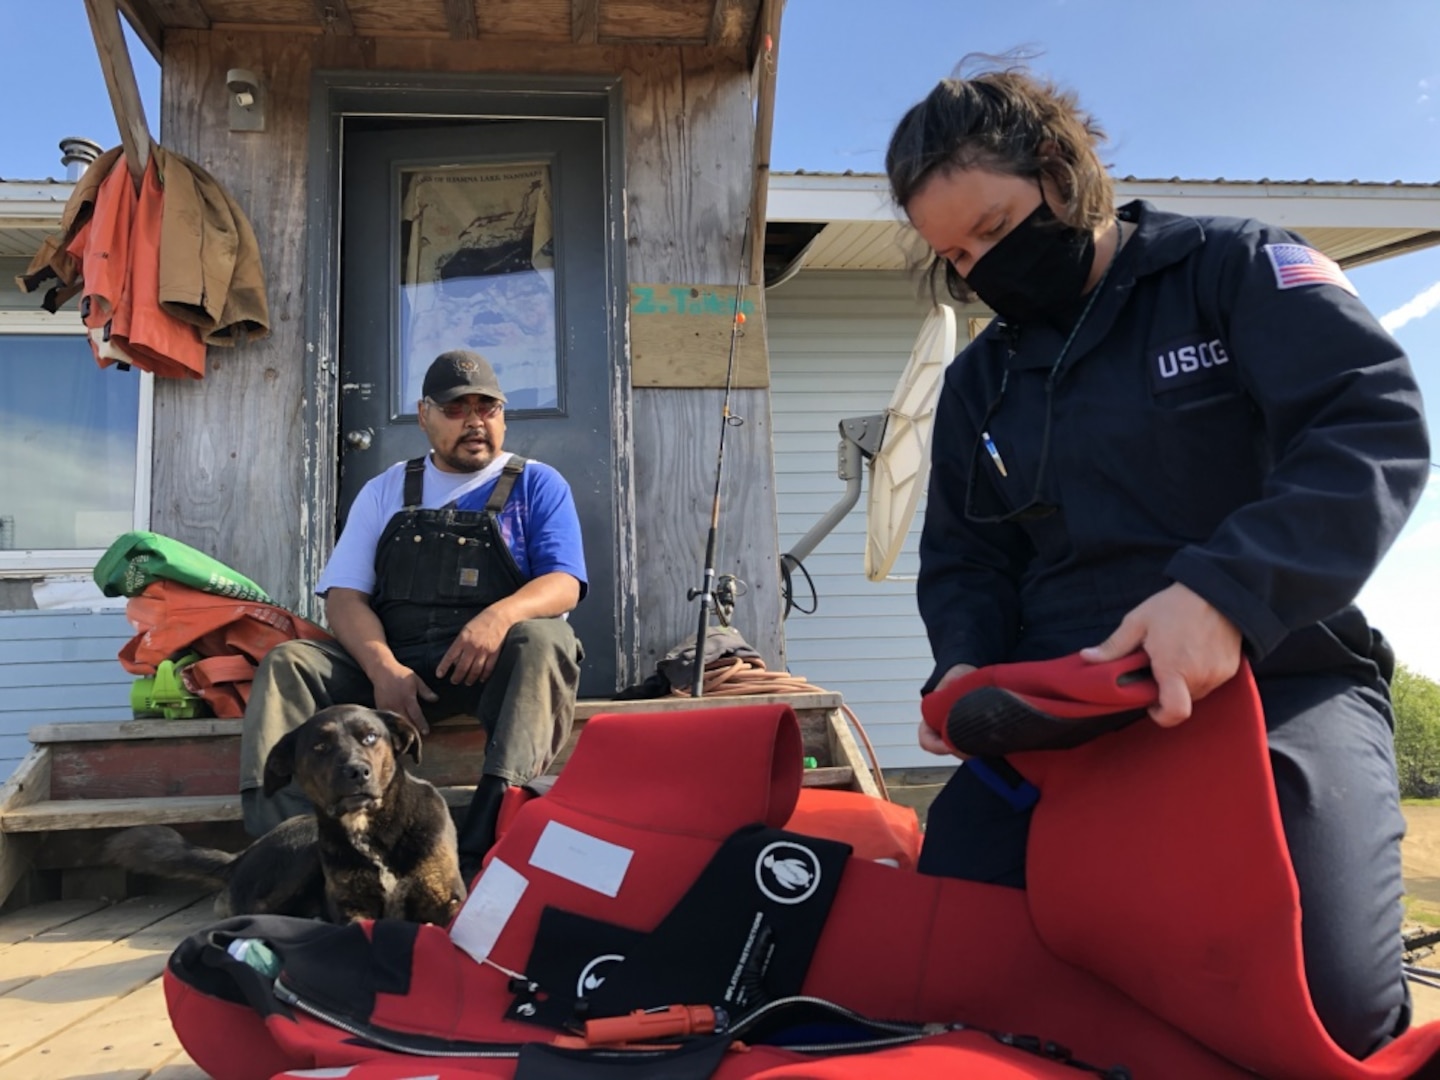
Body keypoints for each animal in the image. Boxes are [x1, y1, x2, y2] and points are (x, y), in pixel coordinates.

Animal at [106, 705, 466, 927]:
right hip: (303, 850)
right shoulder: (351, 907)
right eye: (319, 746)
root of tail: (240, 858)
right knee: (253, 912)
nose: (357, 771)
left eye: (370, 737)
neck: (372, 831)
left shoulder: (446, 899)